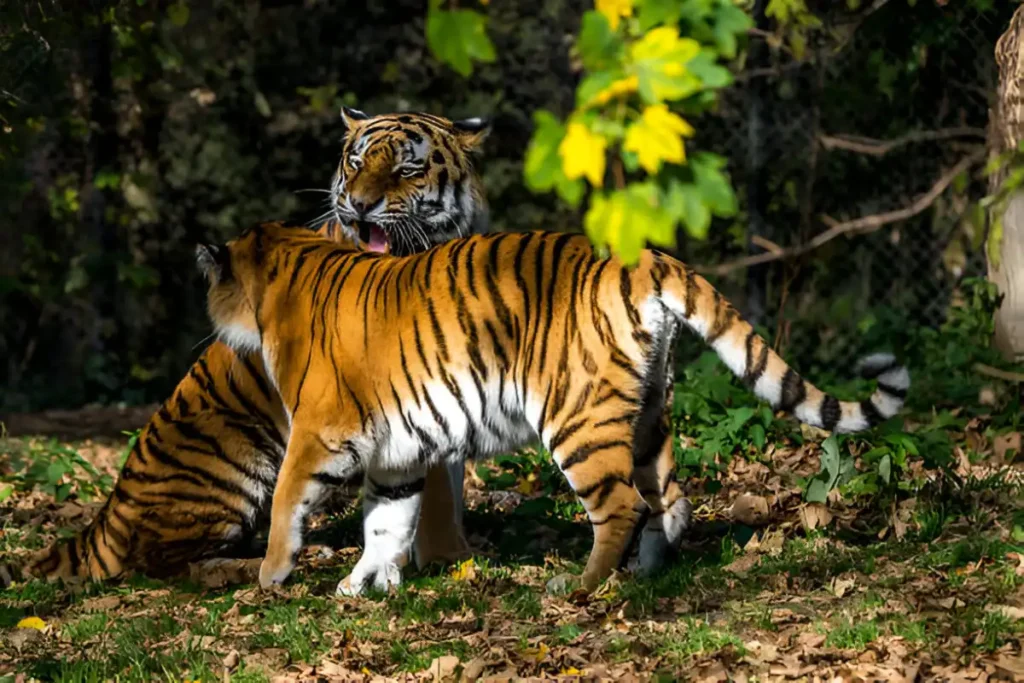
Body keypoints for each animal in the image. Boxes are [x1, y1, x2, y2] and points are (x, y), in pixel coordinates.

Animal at [18, 111, 489, 581]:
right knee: (169, 564)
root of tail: (104, 519)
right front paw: (448, 559)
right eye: (355, 164)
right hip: (232, 468)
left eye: (406, 170)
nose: (358, 204)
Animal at [195, 223, 909, 593]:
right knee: (670, 500)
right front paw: (362, 584)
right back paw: (649, 577)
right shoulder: (396, 454)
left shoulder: (318, 432)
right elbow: (386, 524)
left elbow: (287, 501)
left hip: (577, 419)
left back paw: (580, 586)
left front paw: (271, 576)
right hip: (647, 413)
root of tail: (648, 258)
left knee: (621, 506)